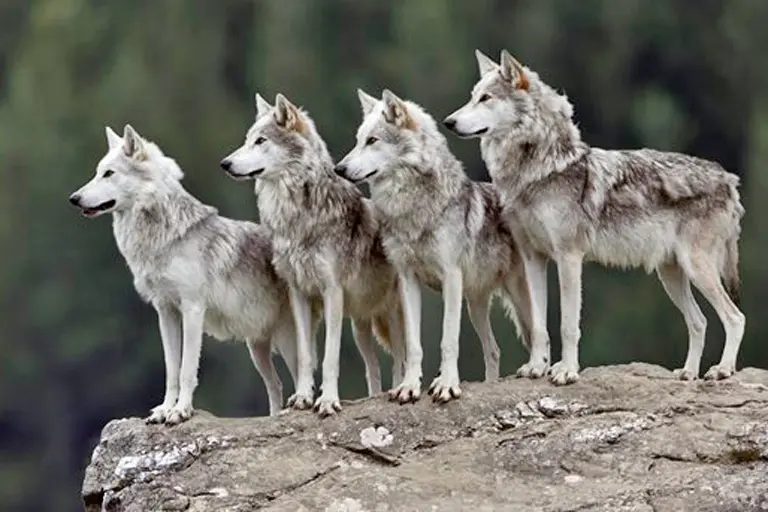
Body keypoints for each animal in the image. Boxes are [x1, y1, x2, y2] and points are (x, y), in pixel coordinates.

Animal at [68, 124, 312, 424]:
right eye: (97, 172)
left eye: (109, 173)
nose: (74, 198)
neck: (164, 239)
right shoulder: (165, 313)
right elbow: (171, 369)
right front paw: (164, 410)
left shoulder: (192, 310)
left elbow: (186, 370)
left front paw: (180, 411)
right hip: (256, 349)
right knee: (276, 385)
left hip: (287, 341)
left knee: (302, 376)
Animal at [220, 93, 406, 416]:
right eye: (247, 140)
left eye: (260, 141)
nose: (225, 163)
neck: (297, 218)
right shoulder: (299, 293)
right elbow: (306, 355)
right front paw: (303, 397)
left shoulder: (332, 292)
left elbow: (330, 357)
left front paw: (328, 400)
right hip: (360, 326)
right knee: (373, 367)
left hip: (390, 314)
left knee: (400, 358)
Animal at [334, 88, 542, 403]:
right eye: (359, 140)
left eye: (372, 140)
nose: (339, 168)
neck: (412, 210)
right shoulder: (407, 280)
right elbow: (413, 344)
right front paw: (409, 387)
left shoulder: (451, 278)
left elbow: (448, 340)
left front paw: (446, 385)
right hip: (476, 304)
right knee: (494, 350)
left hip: (517, 295)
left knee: (538, 334)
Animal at [444, 49, 746, 384]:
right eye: (472, 97)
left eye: (486, 98)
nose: (448, 122)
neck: (538, 171)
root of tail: (728, 179)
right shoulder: (533, 258)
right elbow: (538, 326)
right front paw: (537, 367)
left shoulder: (569, 257)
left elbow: (567, 325)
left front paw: (566, 371)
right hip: (671, 275)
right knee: (699, 322)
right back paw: (689, 373)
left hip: (697, 269)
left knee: (735, 317)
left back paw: (722, 370)